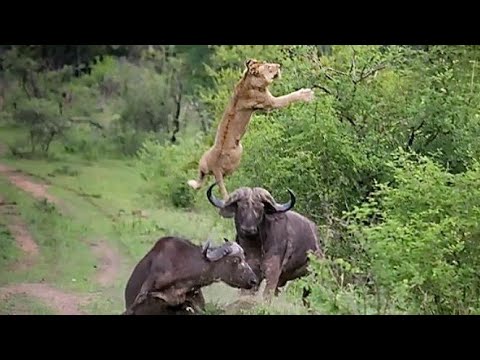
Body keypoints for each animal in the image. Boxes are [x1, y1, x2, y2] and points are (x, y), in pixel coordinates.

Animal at [188, 58, 316, 200]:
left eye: (268, 63)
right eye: (269, 67)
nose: (279, 65)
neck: (248, 80)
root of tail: (215, 168)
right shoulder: (270, 102)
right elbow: (289, 97)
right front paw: (307, 94)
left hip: (203, 162)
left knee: (201, 178)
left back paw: (192, 183)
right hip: (238, 153)